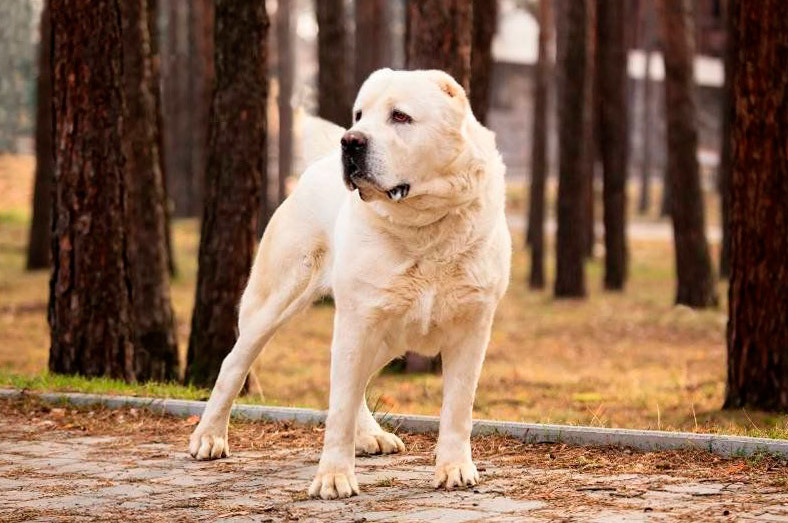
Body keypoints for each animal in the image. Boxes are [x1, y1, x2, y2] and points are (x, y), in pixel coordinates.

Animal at [189, 68, 516, 500]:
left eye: (400, 116)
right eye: (360, 114)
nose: (351, 140)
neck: (424, 227)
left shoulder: (472, 326)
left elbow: (459, 407)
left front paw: (455, 469)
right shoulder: (357, 321)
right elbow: (340, 407)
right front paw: (333, 477)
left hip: (386, 334)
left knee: (358, 381)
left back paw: (372, 436)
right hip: (277, 302)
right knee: (234, 363)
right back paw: (208, 437)